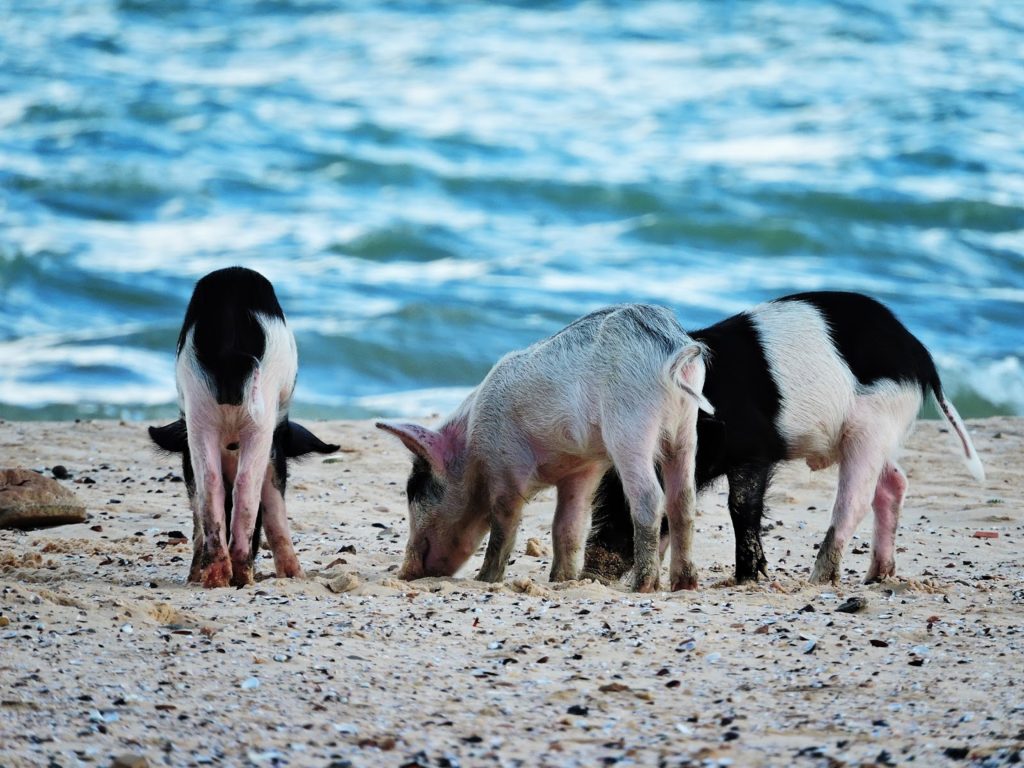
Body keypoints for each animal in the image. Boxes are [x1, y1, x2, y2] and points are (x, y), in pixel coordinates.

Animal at [147, 268, 335, 593]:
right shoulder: (276, 443)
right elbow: (272, 500)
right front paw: (296, 576)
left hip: (200, 407)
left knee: (211, 484)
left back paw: (215, 579)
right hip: (261, 412)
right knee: (246, 485)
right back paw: (241, 576)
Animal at [374, 303, 712, 593]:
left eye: (415, 490)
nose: (404, 573)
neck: (471, 447)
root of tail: (674, 347)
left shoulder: (505, 464)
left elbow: (503, 524)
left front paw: (485, 580)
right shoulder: (584, 468)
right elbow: (567, 525)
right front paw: (562, 580)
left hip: (630, 425)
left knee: (650, 497)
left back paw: (643, 586)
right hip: (686, 427)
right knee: (683, 498)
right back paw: (685, 584)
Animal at [581, 290, 978, 585]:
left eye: (621, 501)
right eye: (603, 494)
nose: (592, 572)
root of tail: (920, 354)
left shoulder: (755, 450)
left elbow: (741, 505)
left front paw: (748, 578)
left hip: (874, 424)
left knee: (857, 499)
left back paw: (819, 579)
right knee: (895, 481)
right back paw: (875, 577)